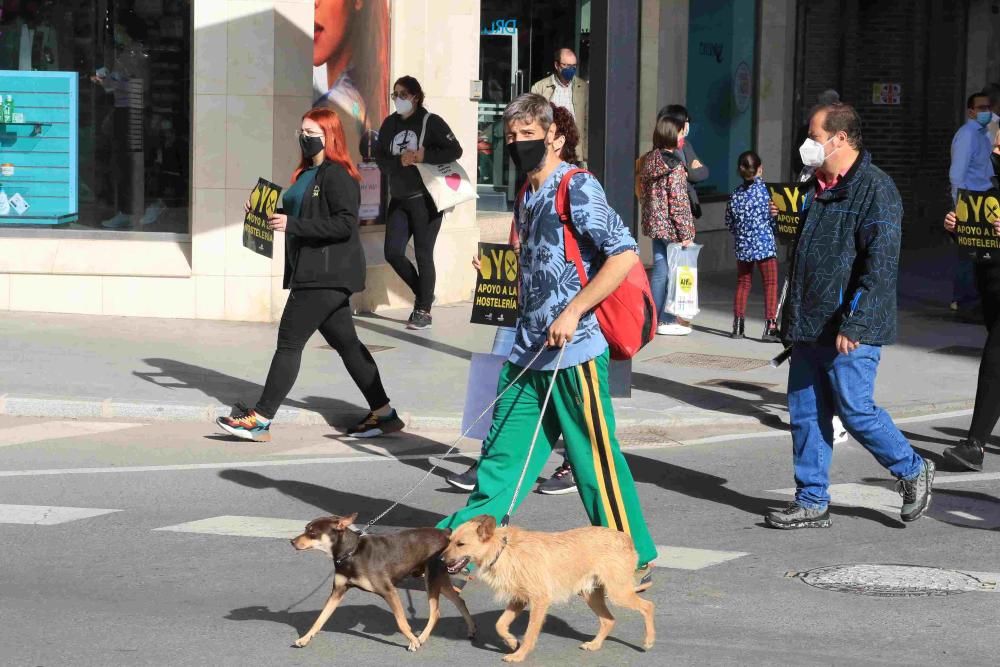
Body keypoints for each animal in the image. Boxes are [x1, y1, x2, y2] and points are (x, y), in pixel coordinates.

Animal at [290, 516, 476, 652]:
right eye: (306, 528)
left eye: (312, 532)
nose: (291, 541)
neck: (352, 553)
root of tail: (446, 533)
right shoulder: (337, 592)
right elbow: (320, 619)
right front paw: (304, 639)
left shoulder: (389, 591)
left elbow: (401, 622)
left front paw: (413, 641)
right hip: (440, 580)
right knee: (459, 600)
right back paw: (471, 629)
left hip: (431, 580)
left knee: (436, 612)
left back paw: (421, 637)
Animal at [442, 516, 652, 664]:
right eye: (450, 541)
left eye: (460, 544)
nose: (441, 560)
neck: (504, 549)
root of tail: (624, 537)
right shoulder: (519, 599)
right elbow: (500, 624)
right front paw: (511, 642)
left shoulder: (539, 600)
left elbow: (529, 633)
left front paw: (519, 655)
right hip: (591, 595)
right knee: (608, 620)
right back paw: (594, 644)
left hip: (619, 593)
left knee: (648, 606)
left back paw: (649, 641)